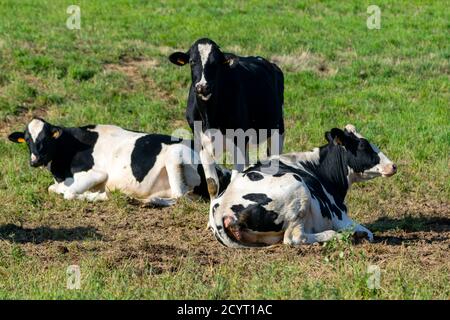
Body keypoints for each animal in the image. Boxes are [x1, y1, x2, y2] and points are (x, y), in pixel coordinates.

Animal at [8, 117, 230, 205]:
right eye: (27, 140)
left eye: (45, 139)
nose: (35, 161)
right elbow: (52, 189)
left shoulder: (97, 173)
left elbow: (69, 194)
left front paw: (96, 196)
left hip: (175, 156)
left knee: (181, 196)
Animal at [169, 38, 284, 199]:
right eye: (192, 61)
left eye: (215, 63)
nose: (202, 87)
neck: (210, 118)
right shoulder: (202, 145)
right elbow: (212, 185)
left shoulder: (239, 142)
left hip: (277, 130)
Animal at [208, 123, 398, 248]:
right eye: (364, 146)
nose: (393, 165)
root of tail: (221, 208)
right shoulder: (340, 217)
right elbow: (369, 232)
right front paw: (359, 234)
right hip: (297, 189)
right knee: (294, 238)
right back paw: (337, 236)